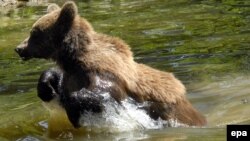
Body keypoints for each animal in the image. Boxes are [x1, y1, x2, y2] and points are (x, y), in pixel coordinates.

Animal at [14, 1, 206, 129]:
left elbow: (105, 91)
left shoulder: (104, 72)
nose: (19, 48)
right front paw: (46, 87)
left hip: (175, 114)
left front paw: (74, 111)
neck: (74, 58)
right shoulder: (72, 74)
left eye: (34, 33)